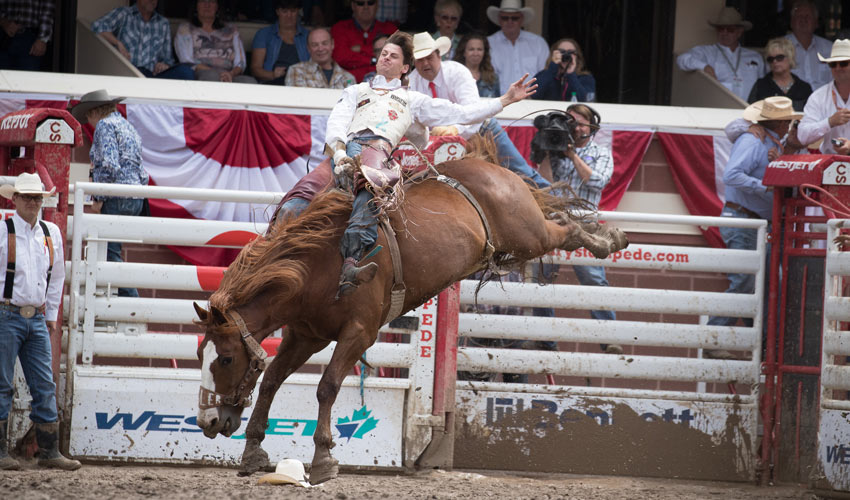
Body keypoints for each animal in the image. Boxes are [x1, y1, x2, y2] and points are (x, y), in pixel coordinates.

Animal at [195, 154, 628, 482]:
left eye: (226, 358)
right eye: (200, 354)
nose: (209, 422)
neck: (316, 269)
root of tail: (490, 166)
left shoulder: (359, 333)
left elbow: (327, 387)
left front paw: (323, 459)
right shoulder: (305, 335)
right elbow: (270, 380)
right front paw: (252, 452)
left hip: (528, 234)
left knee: (565, 227)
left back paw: (609, 239)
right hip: (512, 245)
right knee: (562, 225)